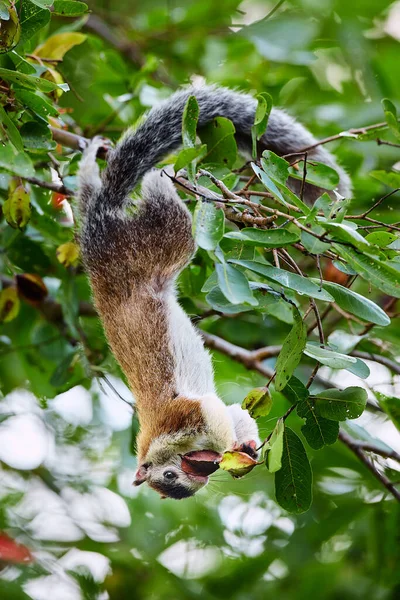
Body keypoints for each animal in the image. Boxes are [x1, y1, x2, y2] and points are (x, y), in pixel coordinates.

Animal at [77, 83, 350, 496]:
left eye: (168, 476)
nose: (201, 476)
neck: (157, 440)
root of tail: (99, 235)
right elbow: (234, 413)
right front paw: (244, 445)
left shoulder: (179, 416)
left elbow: (213, 413)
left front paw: (230, 446)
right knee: (91, 192)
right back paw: (93, 161)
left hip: (155, 242)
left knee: (159, 201)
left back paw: (168, 175)